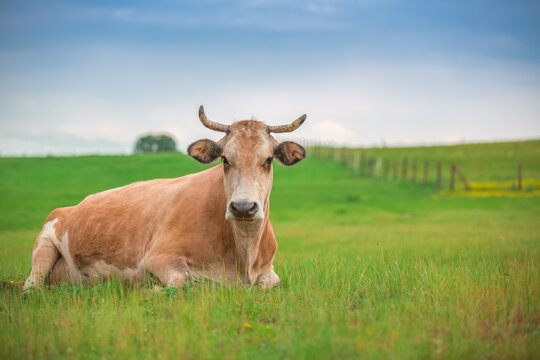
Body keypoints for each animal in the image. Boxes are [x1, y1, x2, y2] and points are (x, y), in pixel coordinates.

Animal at [23, 105, 306, 296]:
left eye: (268, 160)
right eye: (225, 159)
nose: (243, 207)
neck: (243, 252)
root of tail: (70, 207)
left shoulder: (268, 269)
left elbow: (272, 284)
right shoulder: (159, 256)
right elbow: (180, 284)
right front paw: (146, 289)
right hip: (44, 242)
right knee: (32, 284)